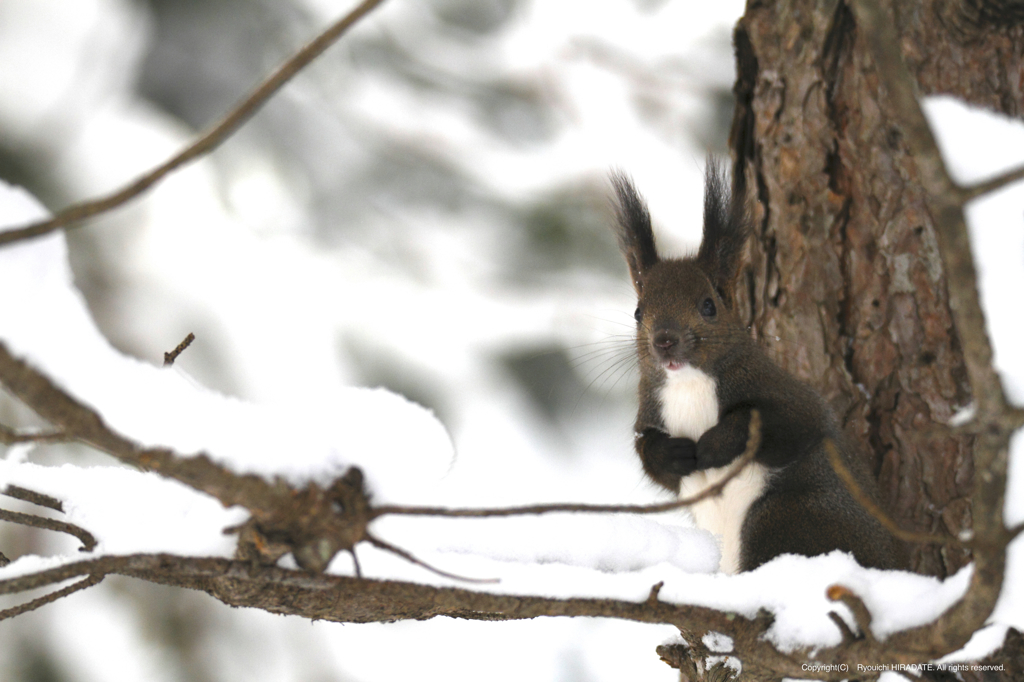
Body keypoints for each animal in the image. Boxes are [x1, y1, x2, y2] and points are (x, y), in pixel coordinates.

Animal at [610, 161, 901, 569]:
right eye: (638, 313)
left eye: (709, 306)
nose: (664, 341)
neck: (689, 384)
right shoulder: (652, 409)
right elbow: (650, 458)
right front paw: (674, 453)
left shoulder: (789, 397)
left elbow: (781, 422)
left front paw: (713, 446)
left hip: (784, 517)